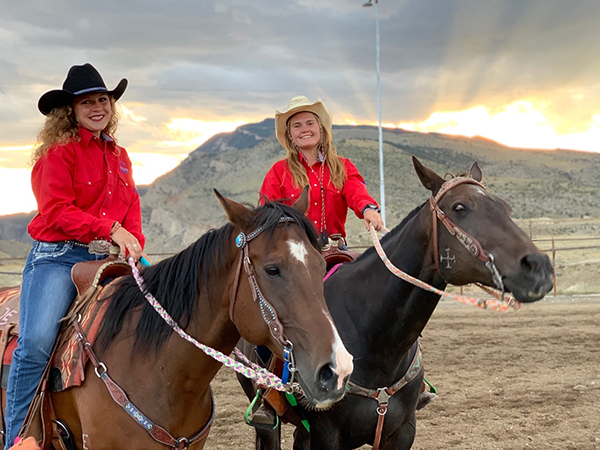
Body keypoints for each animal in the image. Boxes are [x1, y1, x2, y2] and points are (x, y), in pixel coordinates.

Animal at [238, 157, 552, 450]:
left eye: (505, 207)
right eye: (460, 207)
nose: (539, 267)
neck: (373, 340)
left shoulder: (402, 431)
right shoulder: (325, 435)